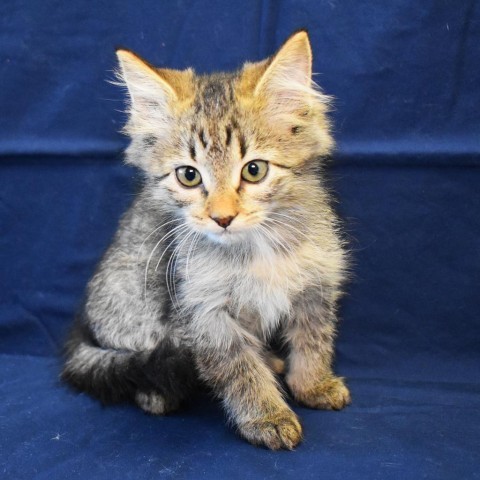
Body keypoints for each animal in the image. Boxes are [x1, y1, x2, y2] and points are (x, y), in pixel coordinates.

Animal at [62, 30, 350, 450]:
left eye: (254, 170)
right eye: (189, 176)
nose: (222, 217)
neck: (257, 247)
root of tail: (83, 329)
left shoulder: (316, 284)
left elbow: (313, 341)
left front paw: (313, 385)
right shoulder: (203, 312)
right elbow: (239, 369)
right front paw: (267, 416)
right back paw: (157, 395)